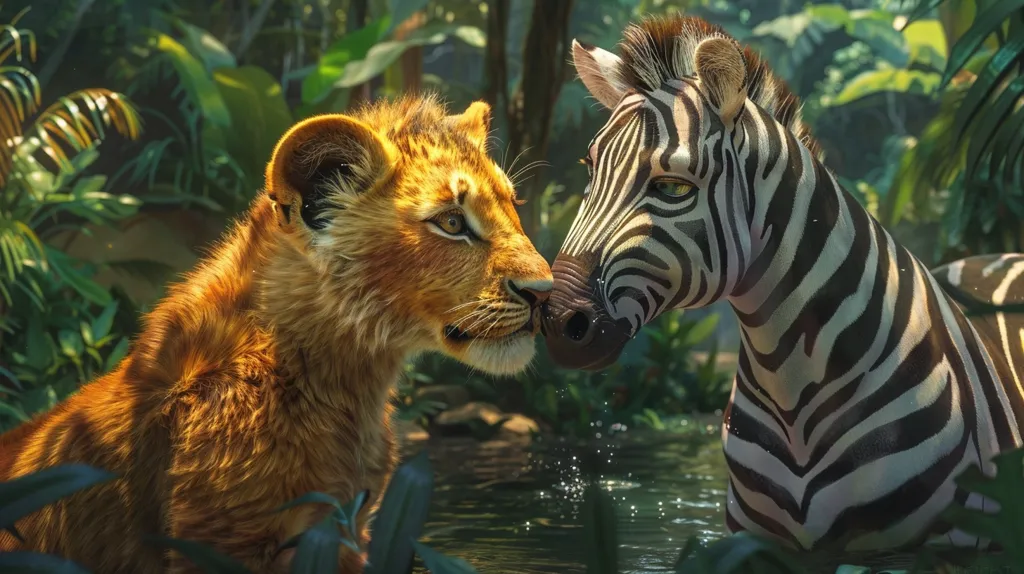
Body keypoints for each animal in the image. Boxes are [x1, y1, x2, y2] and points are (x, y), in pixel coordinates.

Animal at [0, 95, 552, 573]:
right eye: (452, 222)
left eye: (512, 204)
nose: (544, 292)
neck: (349, 380)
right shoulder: (222, 539)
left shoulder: (350, 529)